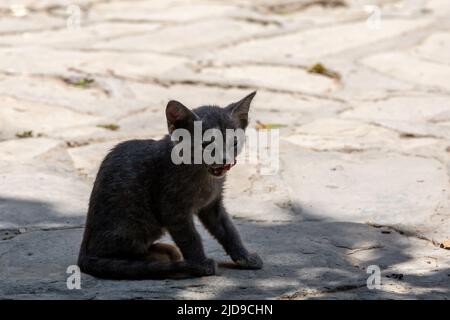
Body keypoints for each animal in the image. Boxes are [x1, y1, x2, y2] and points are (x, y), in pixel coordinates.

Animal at [76, 92, 262, 278]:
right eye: (206, 144)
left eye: (234, 142)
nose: (225, 159)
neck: (204, 176)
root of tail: (83, 253)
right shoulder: (173, 209)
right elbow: (190, 238)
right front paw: (200, 263)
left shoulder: (212, 205)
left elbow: (228, 231)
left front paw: (244, 256)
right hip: (135, 220)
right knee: (117, 256)